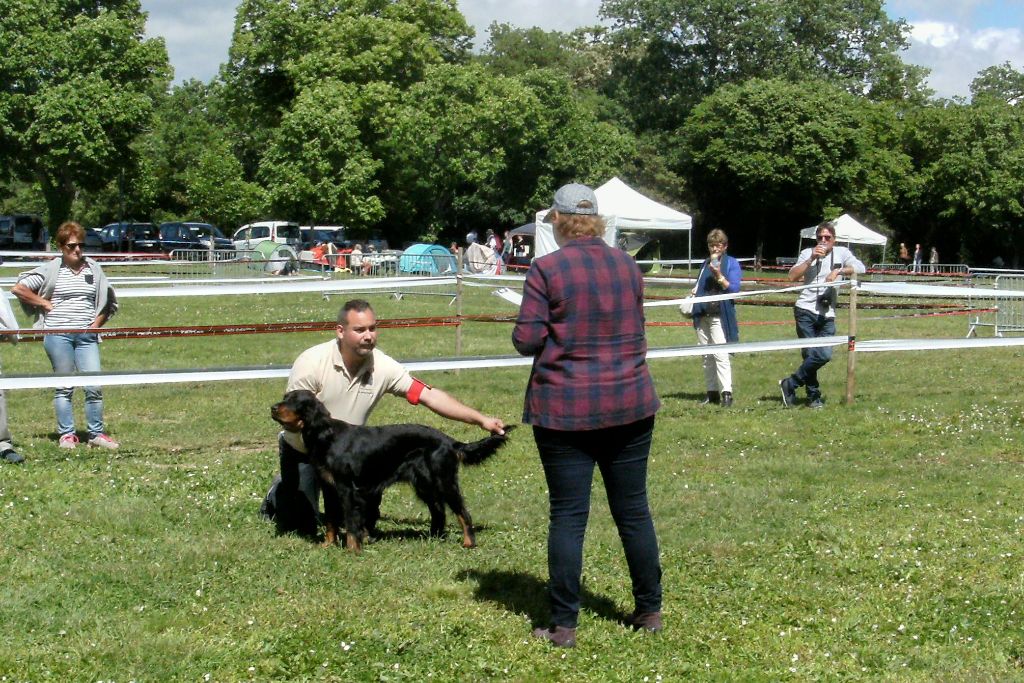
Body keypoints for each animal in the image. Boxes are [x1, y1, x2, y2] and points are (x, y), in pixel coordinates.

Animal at [272, 387, 512, 552]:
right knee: (439, 511)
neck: (326, 436)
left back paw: (469, 542)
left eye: (294, 401)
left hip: (444, 481)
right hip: (424, 484)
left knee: (462, 512)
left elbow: (351, 521)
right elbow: (332, 519)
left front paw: (352, 549)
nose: (273, 408)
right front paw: (328, 544)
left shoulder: (347, 489)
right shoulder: (329, 487)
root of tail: (450, 442)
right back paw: (433, 537)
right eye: (285, 397)